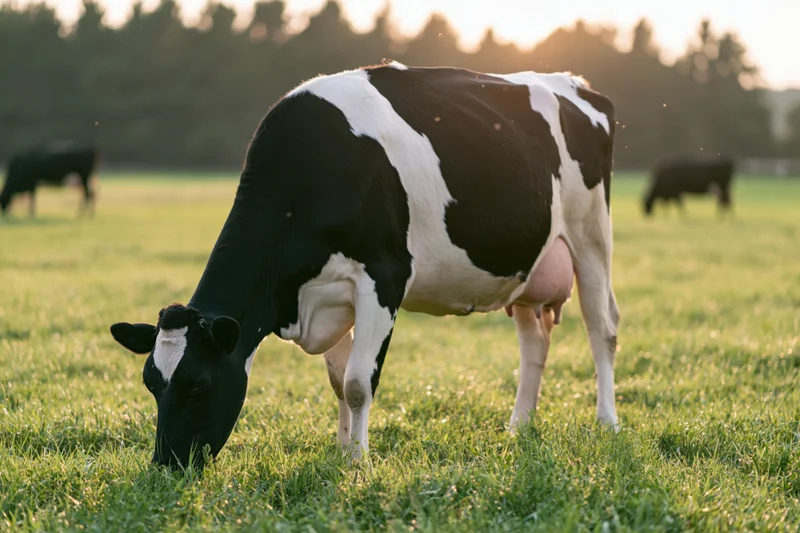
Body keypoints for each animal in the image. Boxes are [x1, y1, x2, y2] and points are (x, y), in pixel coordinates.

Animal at [109, 62, 620, 471]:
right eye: (150, 383)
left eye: (198, 384)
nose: (166, 465)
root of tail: (574, 84)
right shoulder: (329, 295)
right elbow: (338, 382)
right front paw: (341, 450)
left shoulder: (383, 278)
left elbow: (358, 383)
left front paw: (358, 461)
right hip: (528, 269)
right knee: (534, 341)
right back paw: (519, 426)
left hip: (591, 235)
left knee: (602, 327)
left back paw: (607, 422)